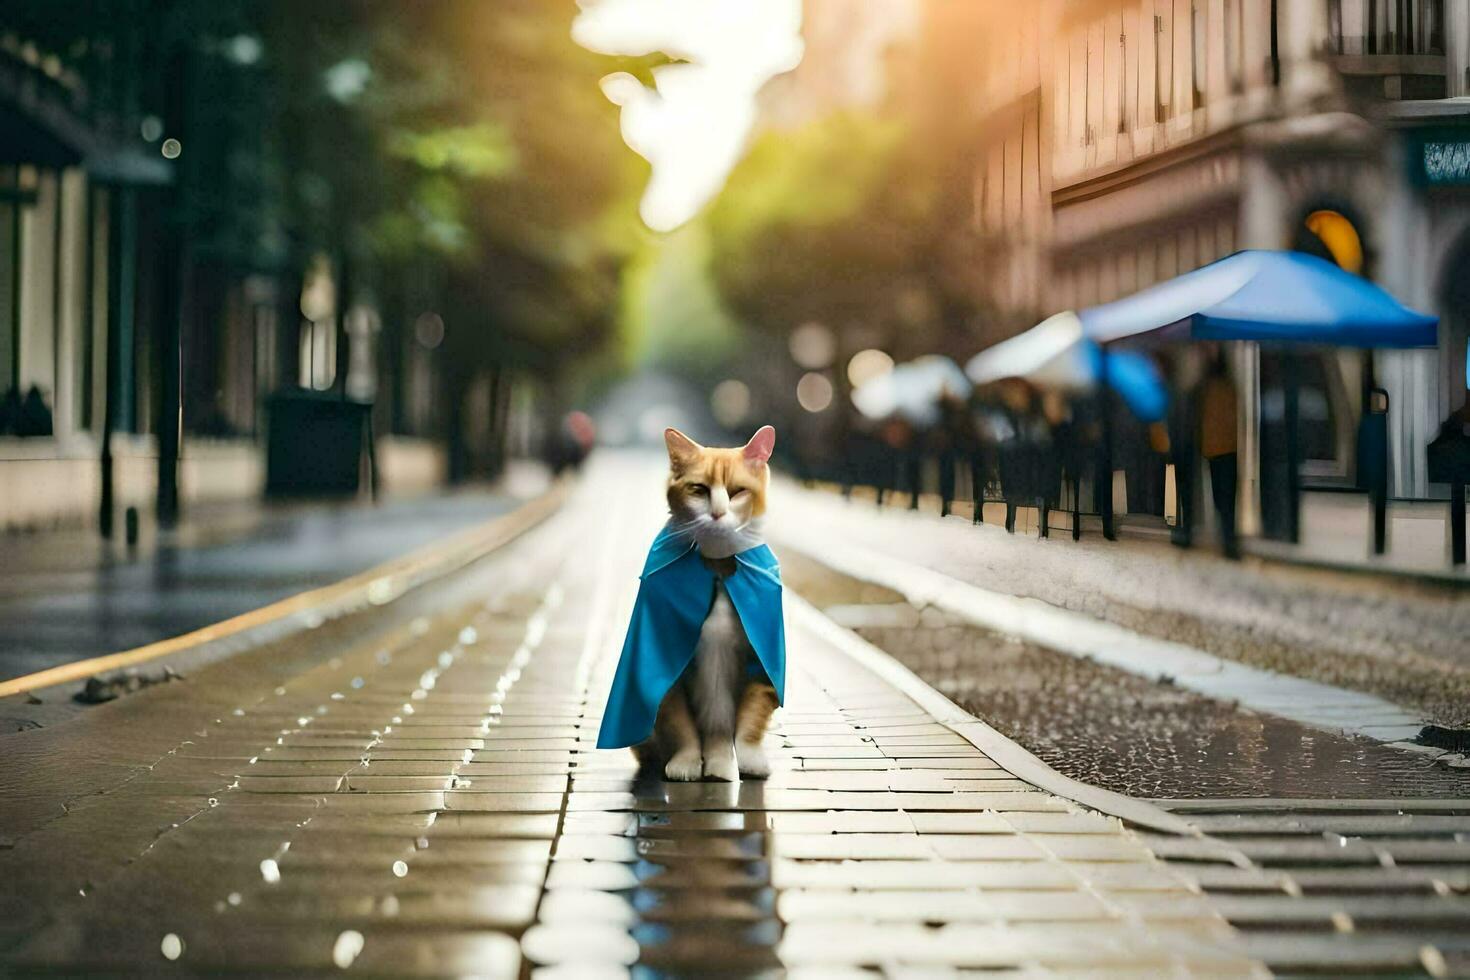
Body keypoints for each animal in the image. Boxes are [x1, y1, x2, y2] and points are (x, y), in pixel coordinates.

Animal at [637, 423, 787, 781]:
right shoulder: (670, 667)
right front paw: (687, 762)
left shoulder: (759, 661)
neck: (717, 567)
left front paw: (743, 761)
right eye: (699, 489)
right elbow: (679, 723)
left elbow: (751, 716)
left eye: (737, 492)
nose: (718, 513)